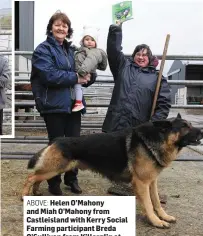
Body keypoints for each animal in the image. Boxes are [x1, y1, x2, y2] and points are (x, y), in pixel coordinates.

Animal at [21, 113, 202, 228]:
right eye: (185, 126)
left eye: (190, 125)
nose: (201, 131)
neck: (156, 139)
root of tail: (57, 140)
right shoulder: (142, 183)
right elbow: (149, 205)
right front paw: (156, 221)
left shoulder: (152, 182)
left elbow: (156, 202)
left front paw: (163, 217)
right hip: (54, 168)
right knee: (30, 177)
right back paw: (25, 195)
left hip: (55, 169)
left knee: (37, 177)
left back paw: (36, 192)